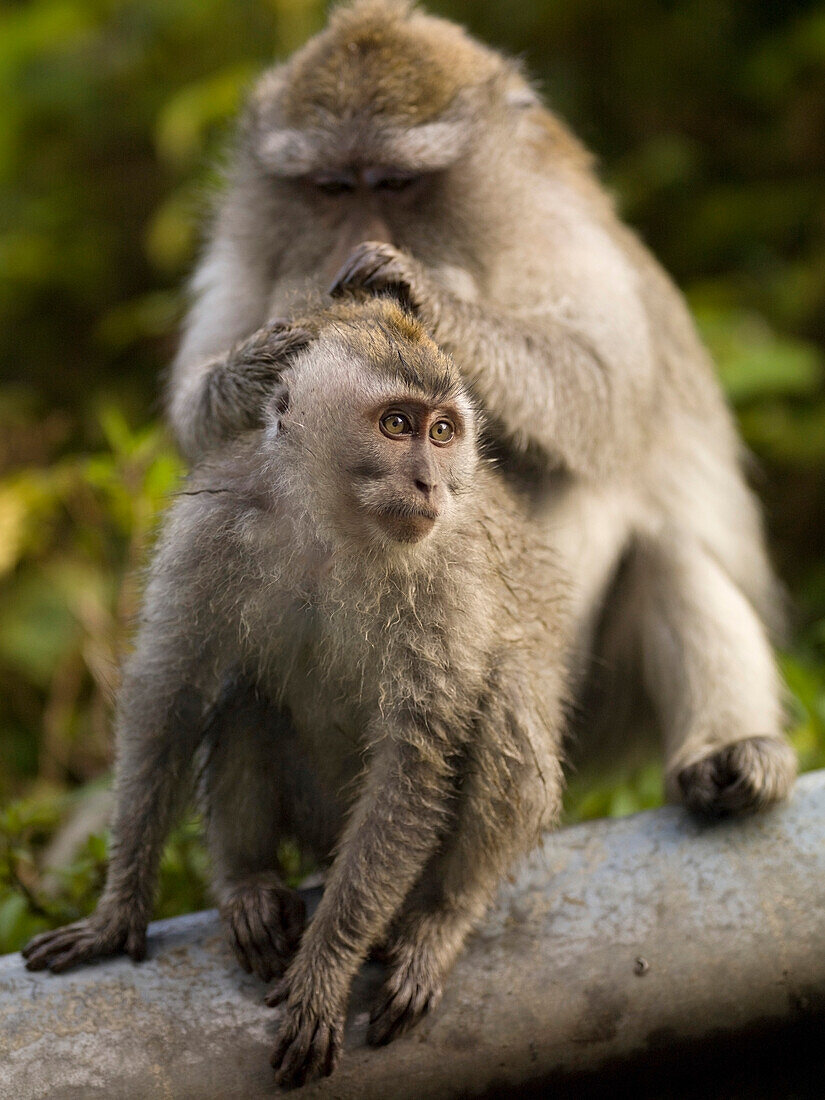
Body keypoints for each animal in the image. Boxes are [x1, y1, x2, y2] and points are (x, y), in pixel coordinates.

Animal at [24, 297, 567, 1086]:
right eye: (397, 424)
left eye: (443, 432)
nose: (431, 483)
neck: (336, 527)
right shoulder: (212, 526)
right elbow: (169, 694)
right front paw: (117, 910)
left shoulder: (446, 582)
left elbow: (413, 767)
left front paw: (323, 975)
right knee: (245, 694)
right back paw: (248, 885)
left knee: (503, 698)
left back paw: (438, 921)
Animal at [162, 0, 800, 818]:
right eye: (332, 187)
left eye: (396, 183)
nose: (350, 240)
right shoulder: (245, 253)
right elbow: (196, 417)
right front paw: (265, 361)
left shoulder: (559, 229)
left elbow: (600, 387)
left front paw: (418, 288)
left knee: (657, 541)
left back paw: (727, 749)